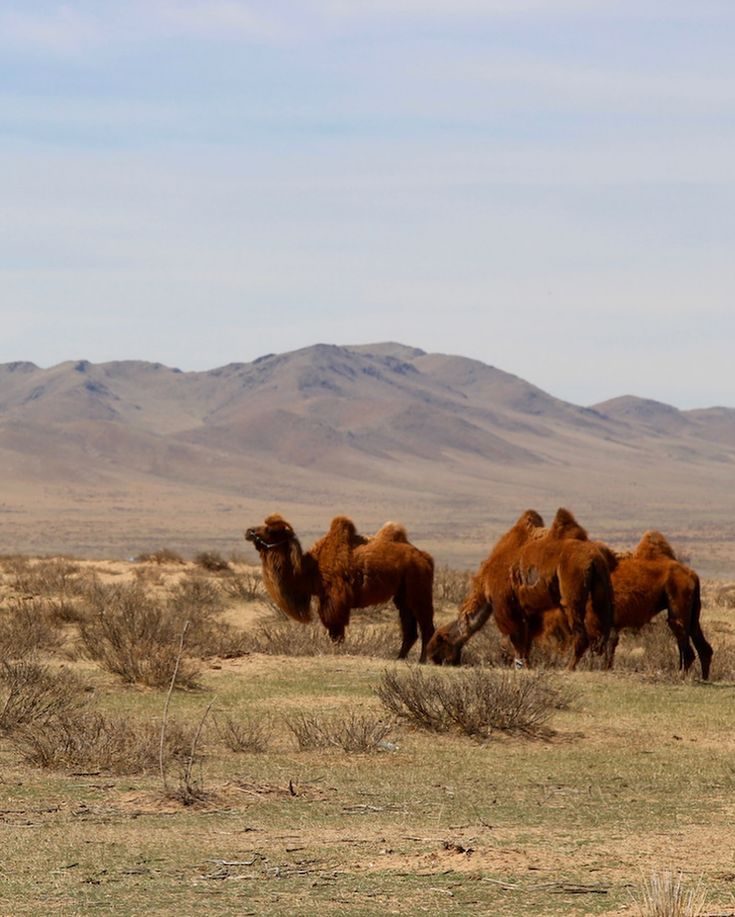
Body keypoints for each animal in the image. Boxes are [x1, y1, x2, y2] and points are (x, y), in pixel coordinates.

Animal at [245, 514, 435, 662]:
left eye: (271, 530)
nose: (249, 531)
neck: (311, 568)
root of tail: (425, 557)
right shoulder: (327, 599)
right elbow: (334, 631)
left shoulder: (335, 599)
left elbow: (336, 631)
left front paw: (337, 652)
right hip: (403, 595)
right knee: (410, 629)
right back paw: (400, 657)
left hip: (419, 587)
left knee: (426, 625)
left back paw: (423, 660)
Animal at [426, 508, 614, 669]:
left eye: (440, 639)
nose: (431, 656)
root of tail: (594, 558)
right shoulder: (529, 610)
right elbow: (527, 640)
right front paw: (526, 665)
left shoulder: (505, 605)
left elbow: (516, 638)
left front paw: (522, 666)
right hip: (601, 589)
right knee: (603, 631)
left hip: (572, 591)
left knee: (581, 632)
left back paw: (569, 667)